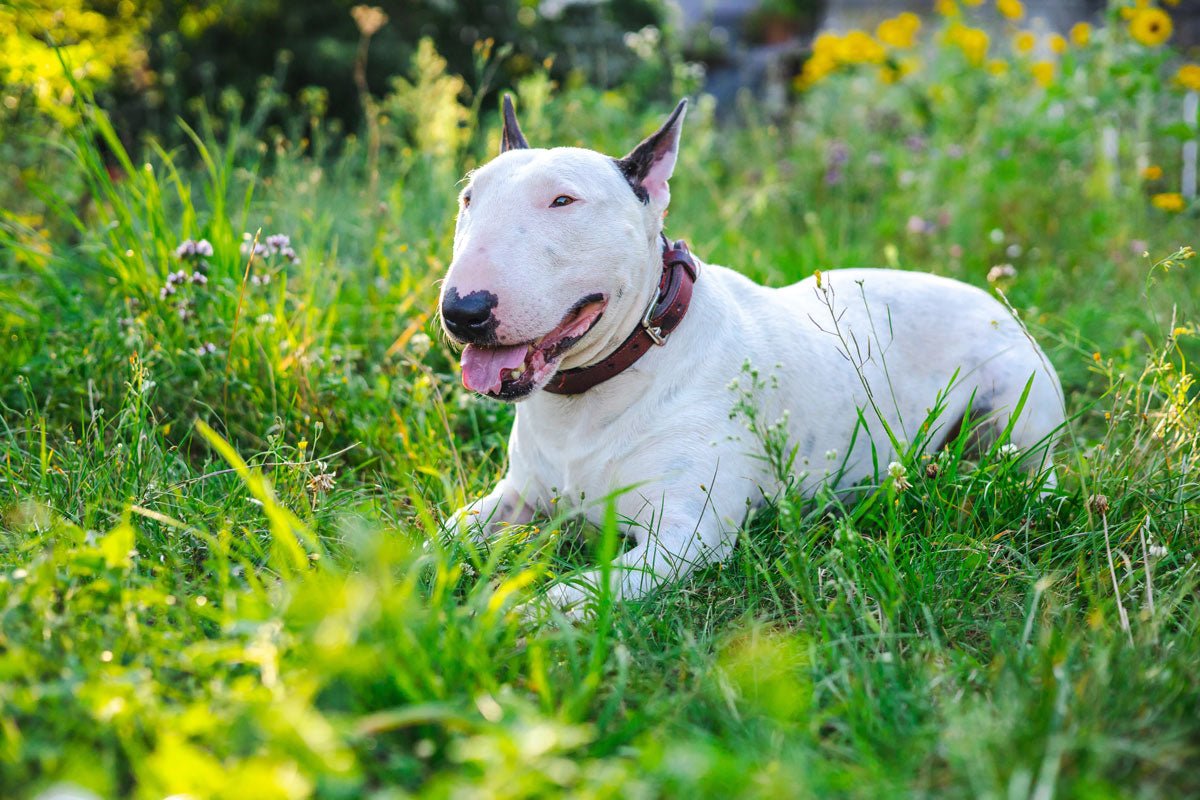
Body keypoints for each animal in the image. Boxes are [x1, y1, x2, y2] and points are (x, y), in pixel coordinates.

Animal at [439, 98, 1060, 614]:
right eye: (468, 199)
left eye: (563, 200)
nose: (461, 311)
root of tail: (994, 300)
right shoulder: (514, 495)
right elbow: (442, 536)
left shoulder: (683, 538)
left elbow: (572, 591)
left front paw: (508, 622)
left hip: (1017, 415)